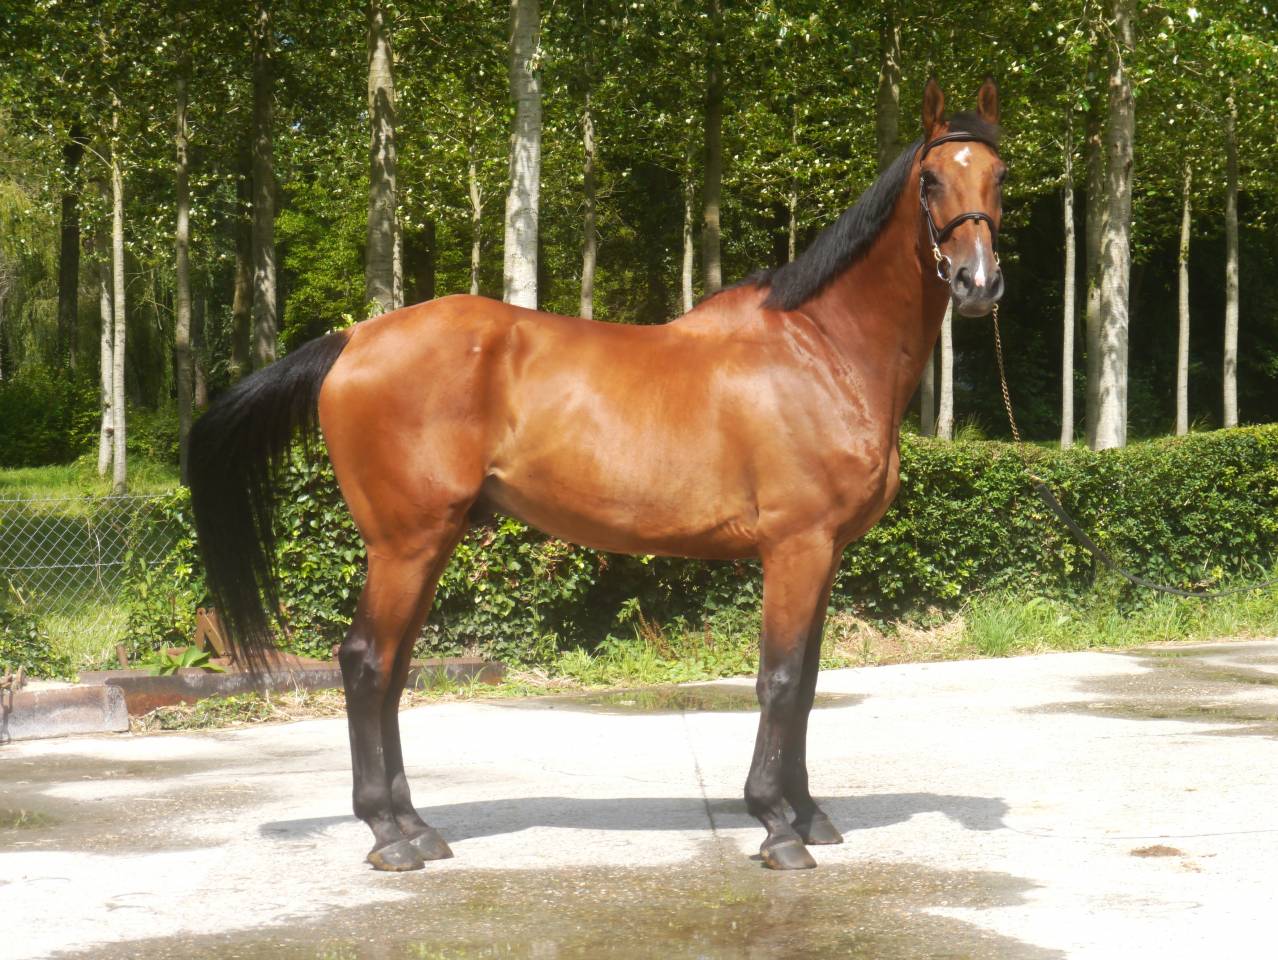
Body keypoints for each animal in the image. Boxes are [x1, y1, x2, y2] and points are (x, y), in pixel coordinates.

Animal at [188, 77, 1006, 873]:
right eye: (931, 178)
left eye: (1000, 175)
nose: (977, 283)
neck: (820, 349)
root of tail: (354, 338)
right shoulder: (795, 548)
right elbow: (778, 680)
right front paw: (777, 826)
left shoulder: (826, 554)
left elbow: (804, 685)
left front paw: (808, 815)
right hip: (405, 543)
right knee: (365, 665)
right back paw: (390, 837)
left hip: (426, 545)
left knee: (392, 671)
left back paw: (416, 828)